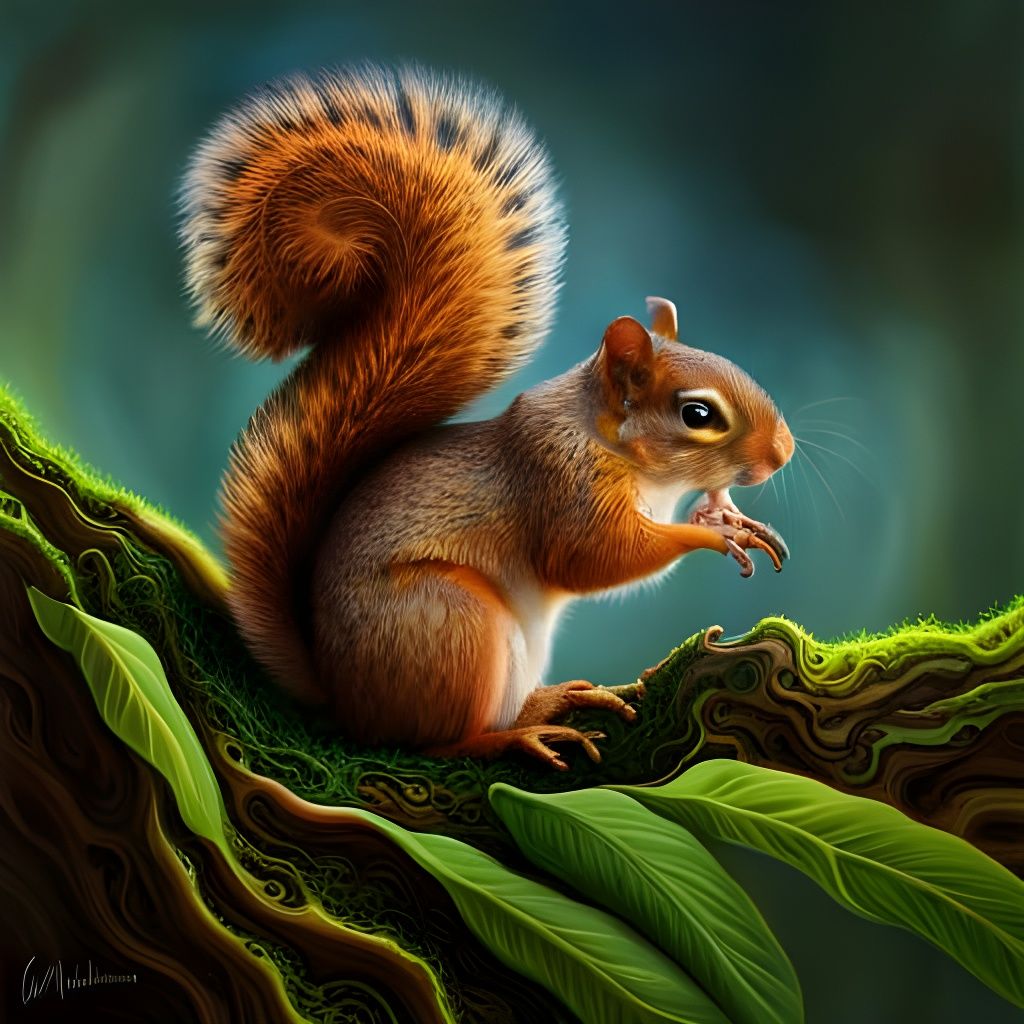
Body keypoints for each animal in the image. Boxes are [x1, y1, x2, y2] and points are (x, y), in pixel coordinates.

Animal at [179, 65, 794, 770]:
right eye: (697, 413)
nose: (782, 453)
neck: (621, 453)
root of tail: (346, 701)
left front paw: (726, 514)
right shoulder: (560, 485)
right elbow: (591, 561)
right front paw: (713, 537)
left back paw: (553, 701)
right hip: (453, 621)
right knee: (444, 742)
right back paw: (517, 734)